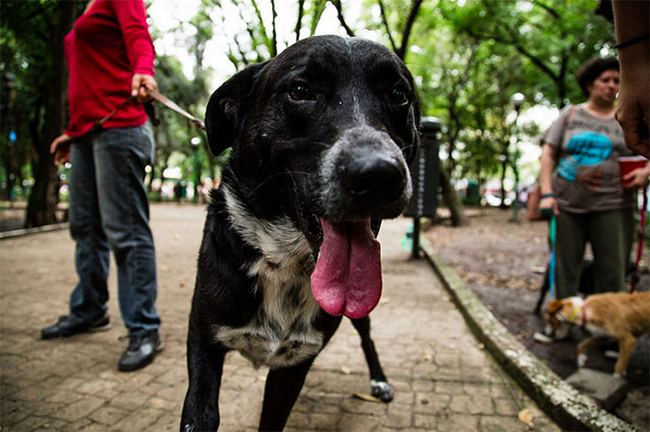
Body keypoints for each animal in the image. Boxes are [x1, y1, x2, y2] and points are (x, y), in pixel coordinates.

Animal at [180, 36, 418, 432]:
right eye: (300, 90)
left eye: (398, 93)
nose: (378, 175)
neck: (283, 260)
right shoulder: (203, 342)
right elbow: (199, 414)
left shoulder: (293, 366)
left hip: (360, 312)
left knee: (367, 339)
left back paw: (379, 380)